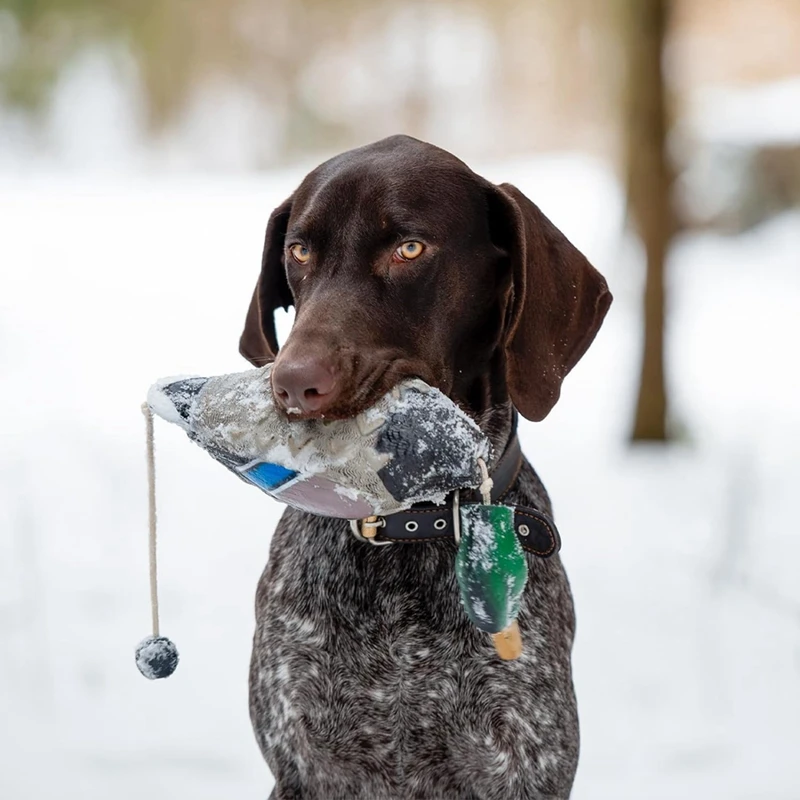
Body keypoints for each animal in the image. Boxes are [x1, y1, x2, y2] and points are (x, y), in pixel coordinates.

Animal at [238, 134, 612, 796]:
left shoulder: (524, 764)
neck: (409, 530)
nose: (293, 382)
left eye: (409, 248)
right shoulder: (304, 765)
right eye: (299, 251)